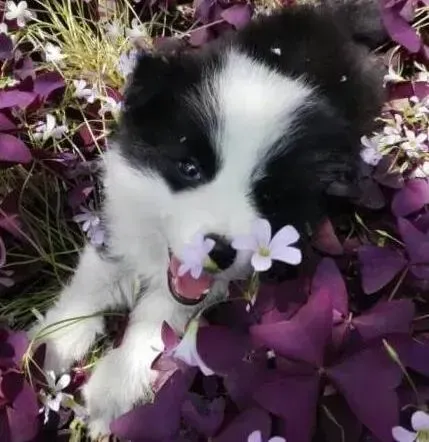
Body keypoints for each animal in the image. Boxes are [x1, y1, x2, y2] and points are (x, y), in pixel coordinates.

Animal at [30, 0, 384, 438]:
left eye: (268, 196)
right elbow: (96, 275)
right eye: (190, 168)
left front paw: (112, 391)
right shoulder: (121, 214)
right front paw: (56, 341)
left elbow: (159, 314)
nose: (219, 251)